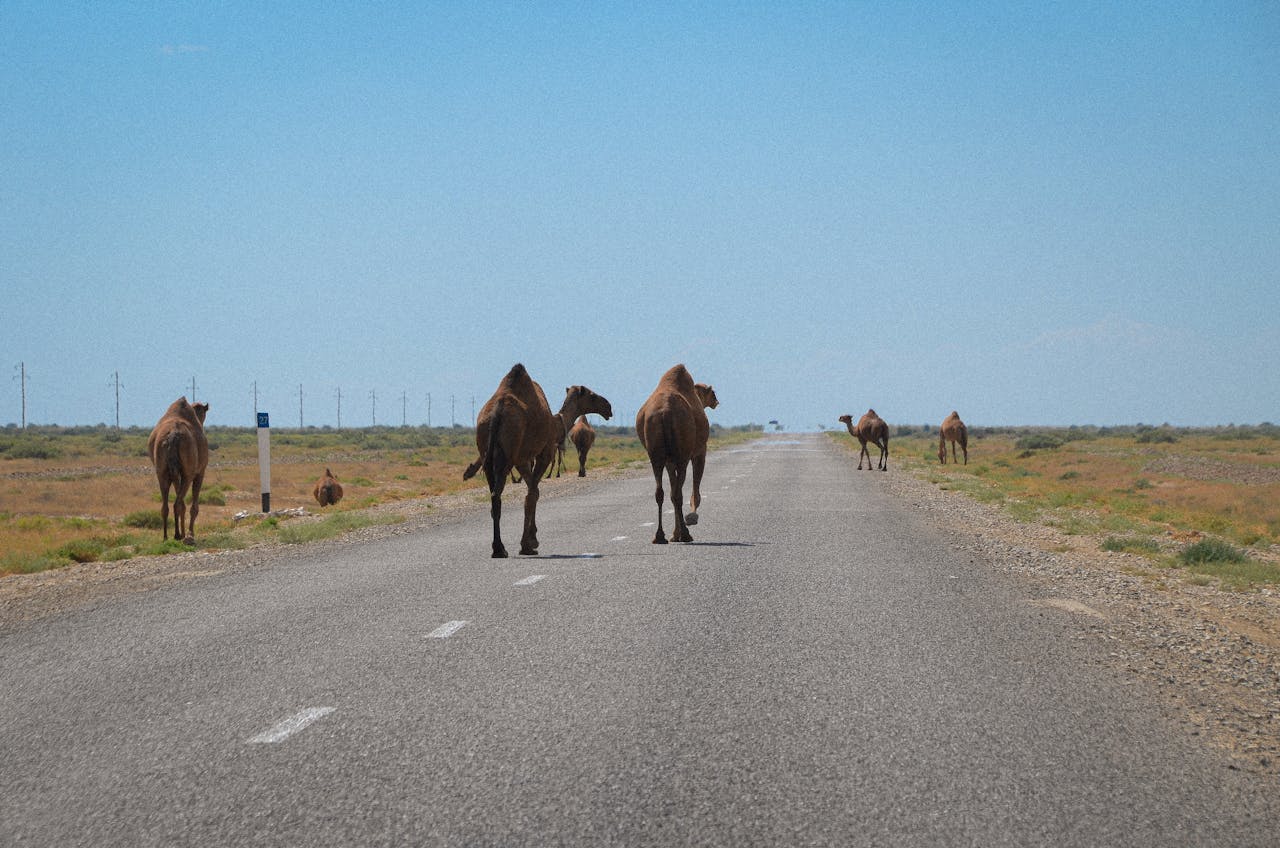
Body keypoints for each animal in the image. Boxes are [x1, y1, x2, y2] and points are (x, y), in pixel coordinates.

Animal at [147, 397, 209, 543]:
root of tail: (173, 436)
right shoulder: (200, 471)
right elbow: (193, 506)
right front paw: (190, 534)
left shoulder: (175, 474)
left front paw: (184, 533)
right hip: (188, 473)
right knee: (178, 503)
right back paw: (178, 535)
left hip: (162, 471)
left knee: (167, 505)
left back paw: (166, 536)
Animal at [463, 364, 612, 557]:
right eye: (592, 395)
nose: (608, 407)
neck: (556, 425)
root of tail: (497, 412)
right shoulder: (544, 453)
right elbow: (532, 495)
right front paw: (528, 544)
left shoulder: (522, 460)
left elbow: (534, 492)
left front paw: (531, 539)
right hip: (507, 452)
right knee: (497, 494)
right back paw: (499, 549)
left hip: (485, 451)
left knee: (494, 495)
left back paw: (498, 548)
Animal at [635, 365, 711, 544]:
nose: (716, 401)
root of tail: (665, 412)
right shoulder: (699, 451)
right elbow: (694, 489)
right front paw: (690, 519)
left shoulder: (669, 461)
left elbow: (671, 491)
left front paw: (674, 534)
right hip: (682, 454)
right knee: (678, 493)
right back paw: (685, 534)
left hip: (655, 455)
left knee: (660, 492)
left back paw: (659, 536)